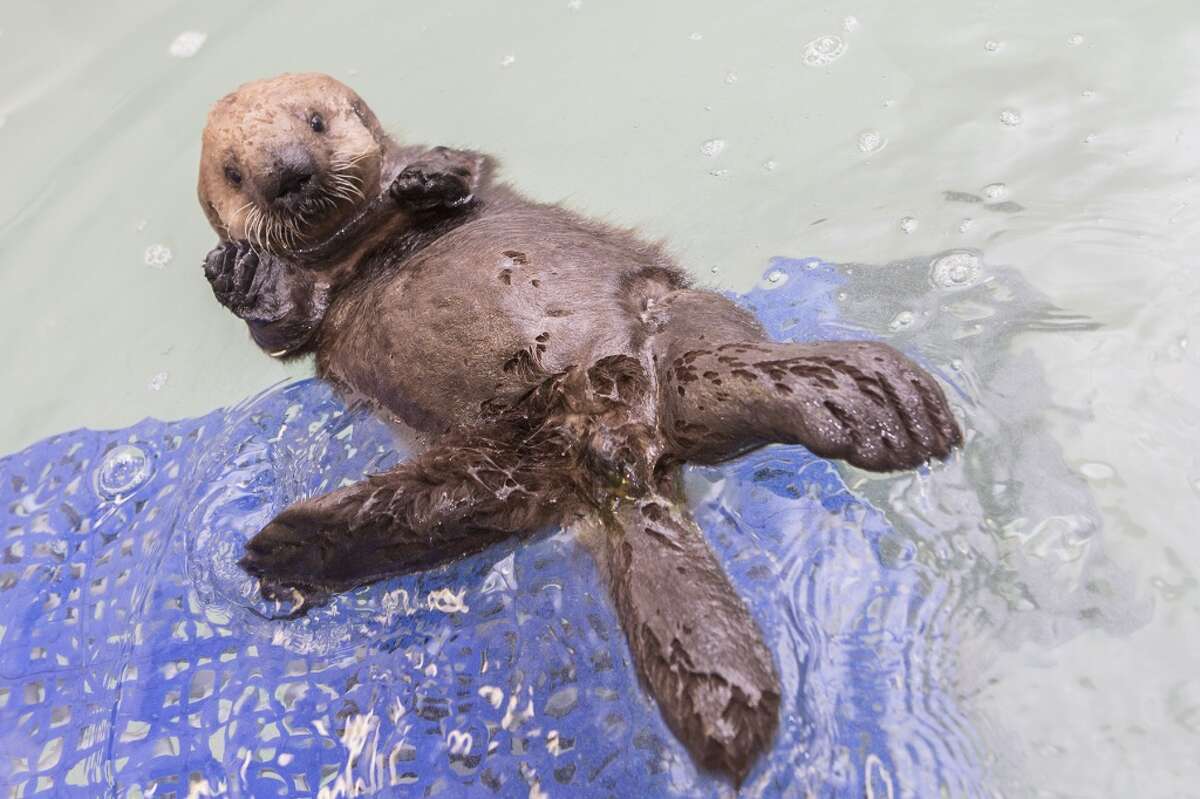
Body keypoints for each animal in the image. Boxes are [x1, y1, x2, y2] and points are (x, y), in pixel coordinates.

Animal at [198, 73, 962, 783]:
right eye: (235, 172)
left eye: (316, 121)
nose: (288, 174)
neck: (355, 242)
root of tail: (612, 449)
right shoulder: (305, 309)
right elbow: (285, 328)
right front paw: (242, 275)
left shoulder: (462, 171)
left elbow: (469, 170)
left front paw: (427, 177)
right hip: (485, 467)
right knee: (435, 506)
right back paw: (289, 548)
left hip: (677, 321)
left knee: (721, 369)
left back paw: (872, 398)